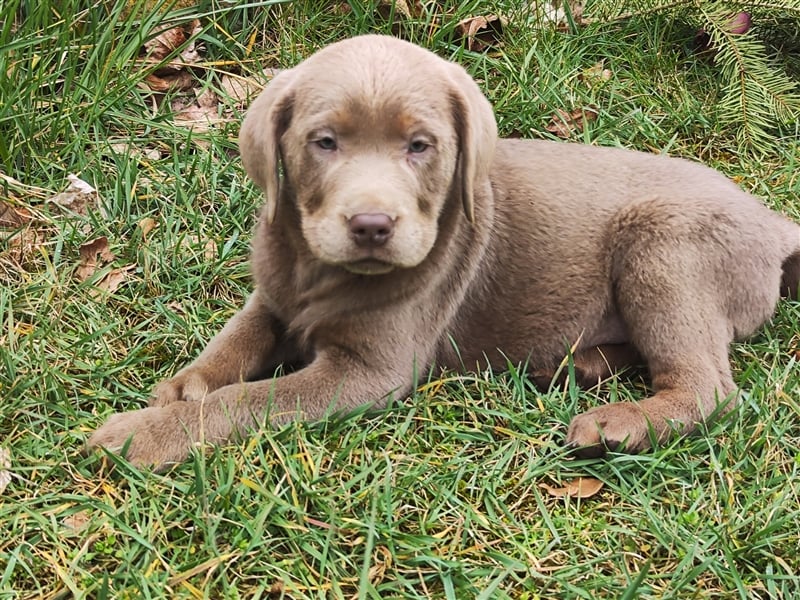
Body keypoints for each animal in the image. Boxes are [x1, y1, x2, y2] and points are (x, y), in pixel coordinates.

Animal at [87, 35, 800, 472]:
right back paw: (577, 366)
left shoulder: (365, 371)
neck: (316, 271)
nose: (372, 225)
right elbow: (238, 336)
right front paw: (185, 385)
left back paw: (616, 424)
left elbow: (249, 403)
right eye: (324, 142)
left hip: (665, 252)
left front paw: (144, 433)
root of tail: (769, 219)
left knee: (708, 387)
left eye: (420, 146)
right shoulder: (273, 292)